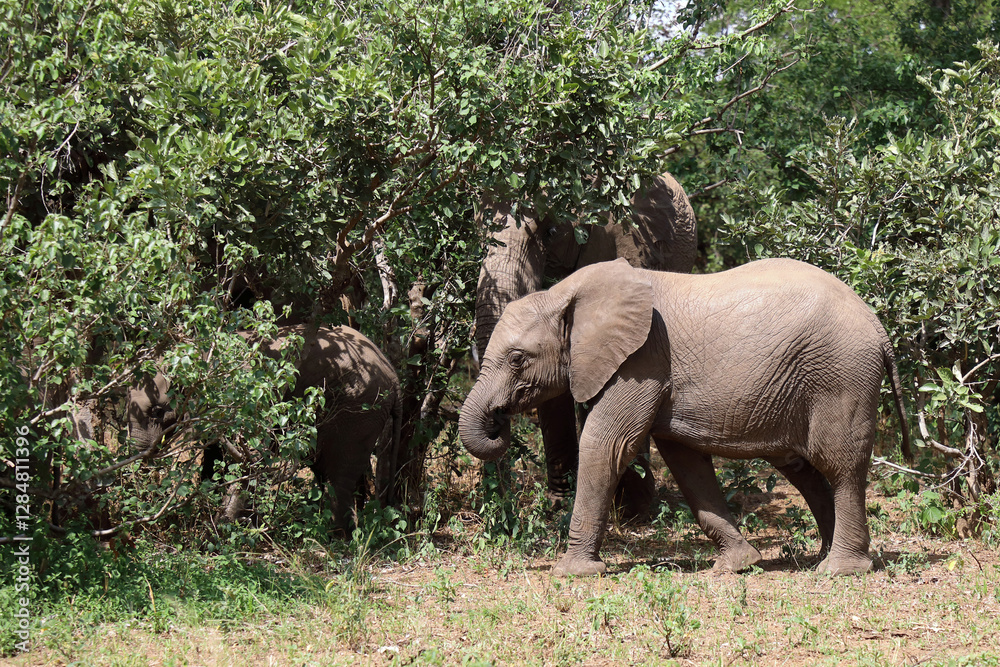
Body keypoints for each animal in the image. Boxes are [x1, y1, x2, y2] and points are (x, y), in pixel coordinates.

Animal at [128, 325, 402, 533]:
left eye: (157, 410)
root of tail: (394, 374)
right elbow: (215, 453)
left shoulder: (243, 396)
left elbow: (251, 453)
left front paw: (227, 525)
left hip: (359, 406)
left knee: (337, 471)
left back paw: (335, 535)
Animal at [459, 258, 911, 577]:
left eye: (518, 360)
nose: (498, 421)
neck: (565, 292)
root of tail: (879, 327)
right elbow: (686, 462)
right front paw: (738, 565)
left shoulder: (642, 360)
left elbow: (606, 444)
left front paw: (572, 573)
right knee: (800, 468)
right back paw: (824, 555)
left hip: (841, 376)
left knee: (840, 465)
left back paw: (839, 569)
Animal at [475, 172, 697, 509]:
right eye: (478, 230)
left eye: (551, 232)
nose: (497, 421)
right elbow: (552, 388)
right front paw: (558, 506)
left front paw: (633, 512)